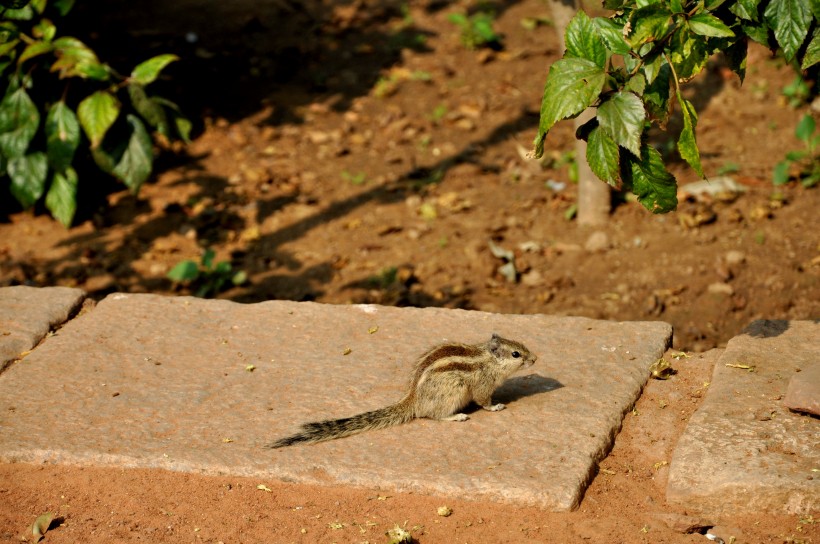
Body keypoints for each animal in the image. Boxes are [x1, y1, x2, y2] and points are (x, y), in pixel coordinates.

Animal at [270, 334, 540, 448]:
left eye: (522, 346)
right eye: (516, 354)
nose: (535, 359)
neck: (488, 359)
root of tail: (412, 399)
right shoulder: (482, 385)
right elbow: (484, 400)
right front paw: (496, 406)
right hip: (451, 393)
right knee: (432, 415)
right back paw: (457, 416)